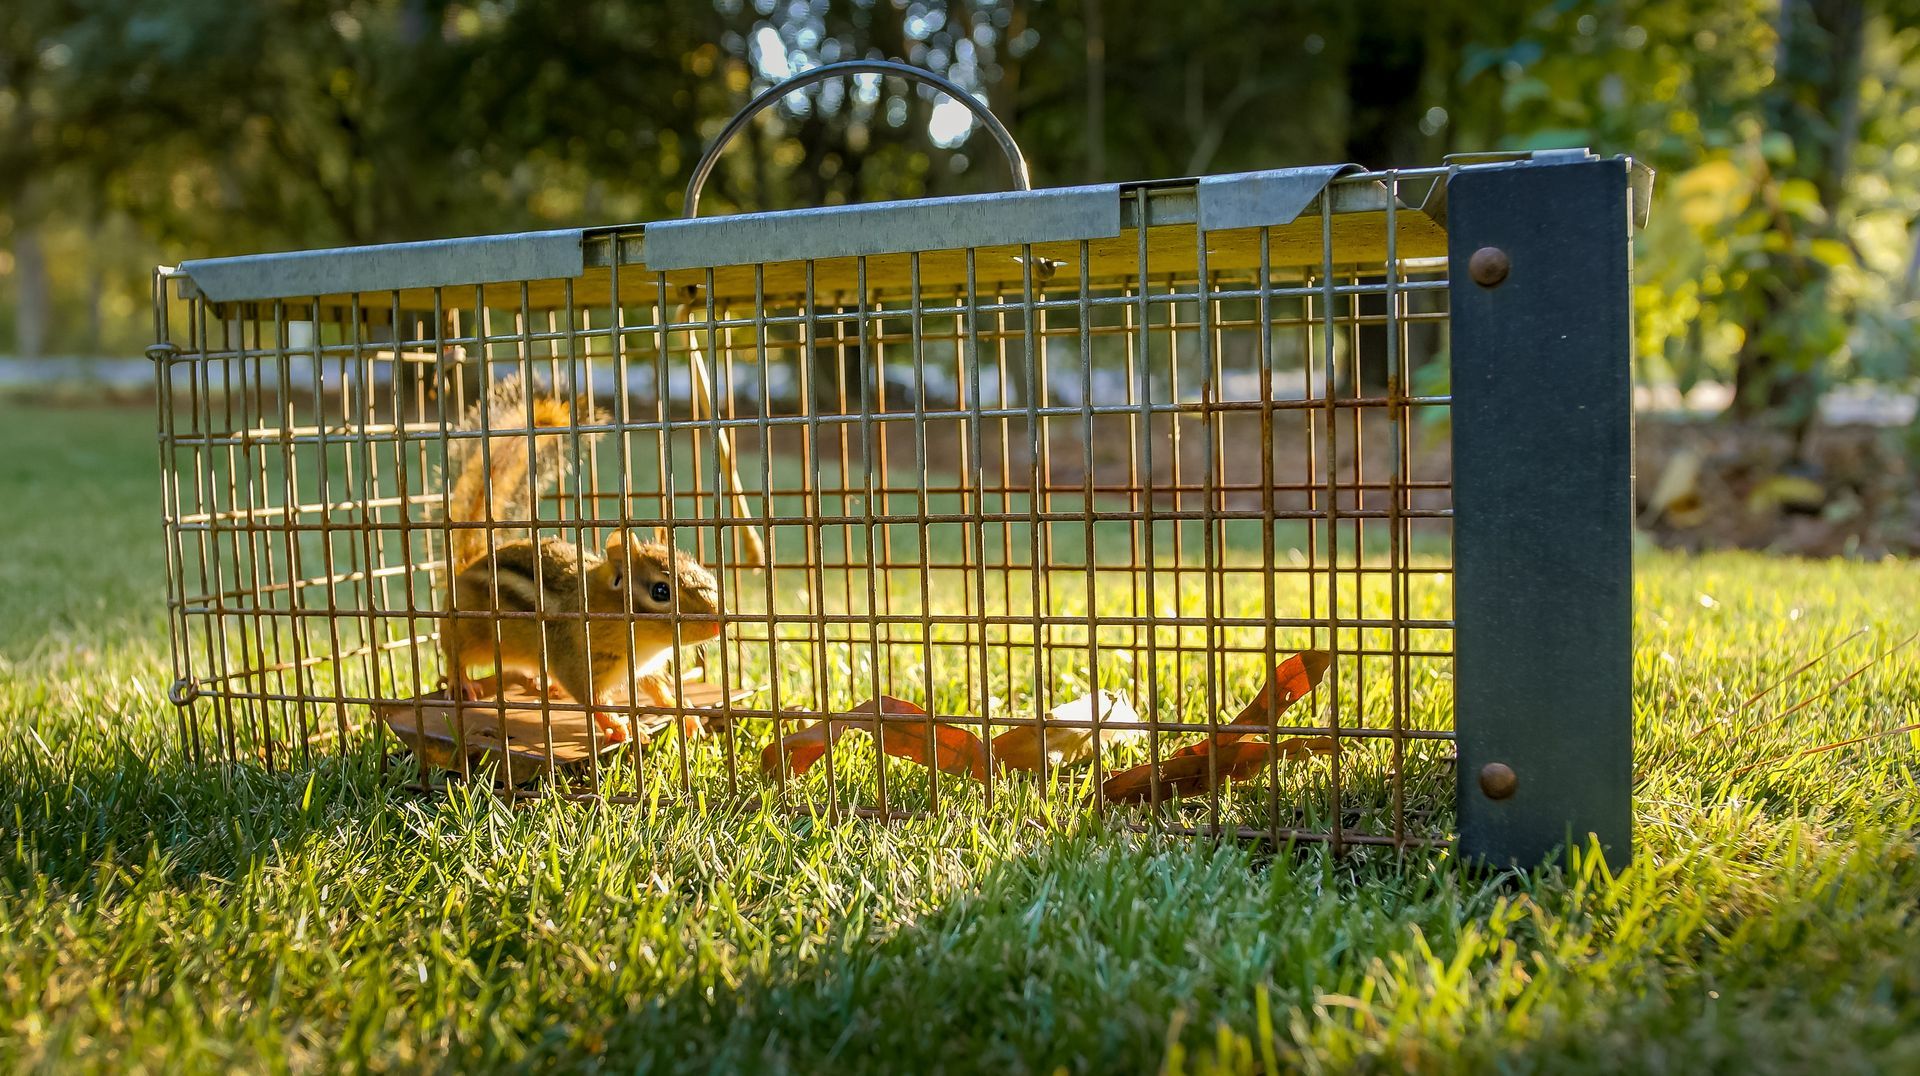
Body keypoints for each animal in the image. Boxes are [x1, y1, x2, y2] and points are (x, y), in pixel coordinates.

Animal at [440, 376, 723, 745]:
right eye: (661, 592)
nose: (718, 623)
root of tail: (468, 565)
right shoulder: (578, 661)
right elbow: (593, 700)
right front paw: (620, 726)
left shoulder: (645, 668)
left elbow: (660, 688)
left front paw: (686, 716)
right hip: (470, 633)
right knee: (453, 655)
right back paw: (462, 683)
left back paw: (543, 683)